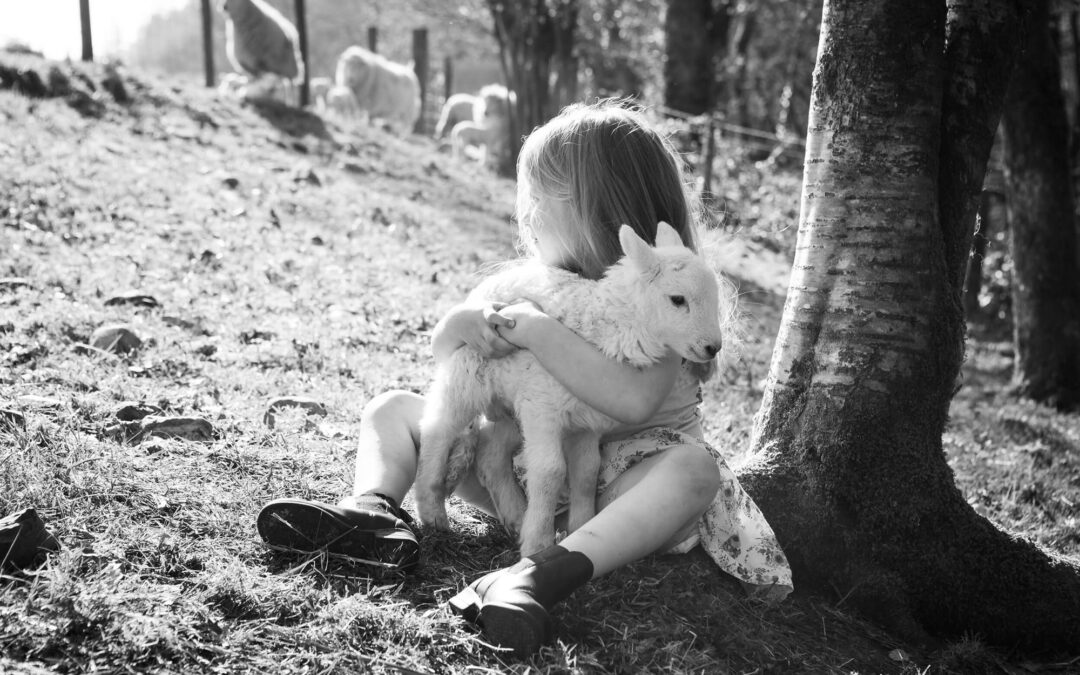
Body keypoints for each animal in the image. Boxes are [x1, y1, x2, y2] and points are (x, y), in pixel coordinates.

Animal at [414, 222, 724, 557]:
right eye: (678, 299)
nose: (713, 347)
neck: (608, 329)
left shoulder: (586, 421)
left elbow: (587, 472)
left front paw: (579, 526)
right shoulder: (543, 407)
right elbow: (550, 472)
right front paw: (538, 544)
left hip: (510, 404)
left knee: (490, 457)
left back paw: (515, 518)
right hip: (469, 372)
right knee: (438, 427)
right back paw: (432, 510)